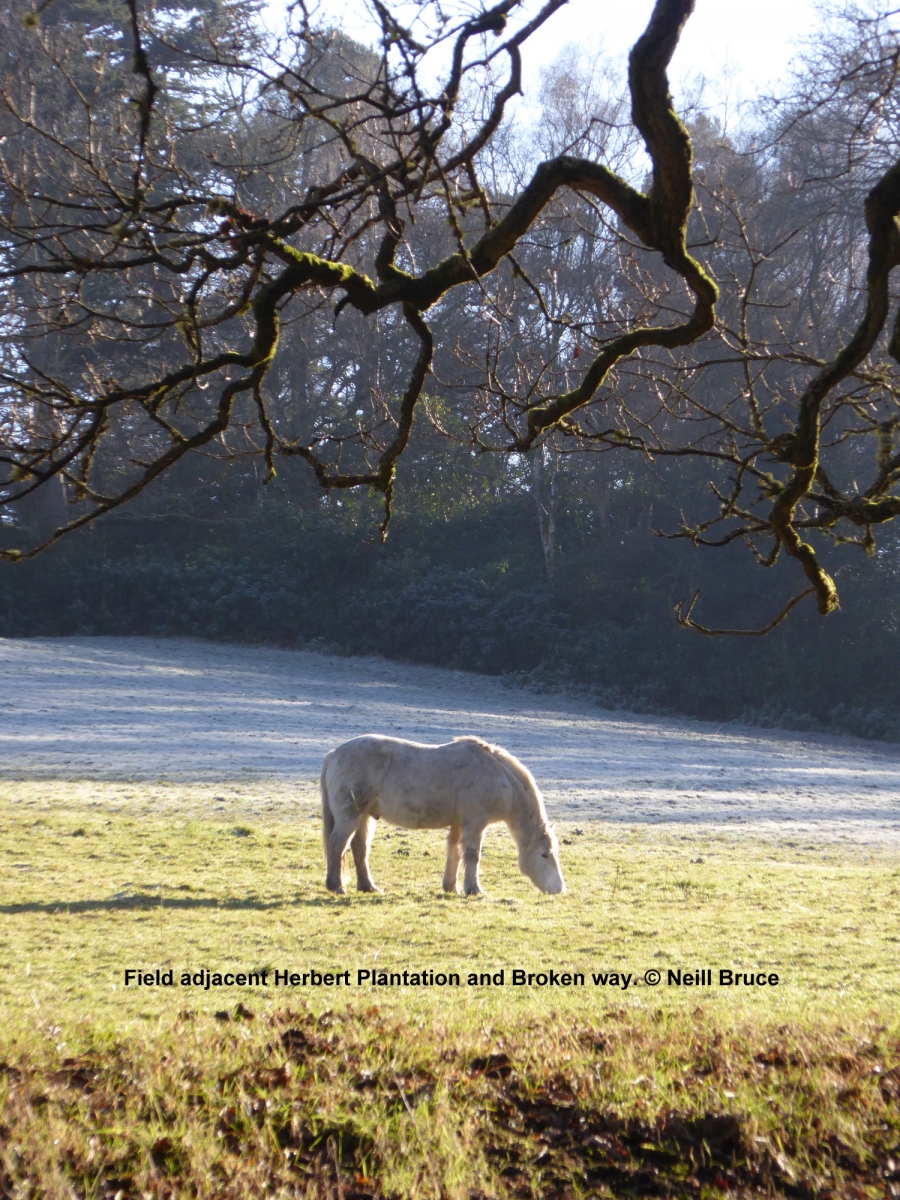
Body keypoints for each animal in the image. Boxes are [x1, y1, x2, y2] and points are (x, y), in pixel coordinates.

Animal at [320, 734, 565, 896]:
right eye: (544, 854)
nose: (560, 889)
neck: (498, 775)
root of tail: (332, 754)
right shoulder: (475, 825)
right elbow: (472, 855)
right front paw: (474, 890)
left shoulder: (459, 825)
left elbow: (454, 852)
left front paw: (450, 887)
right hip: (350, 816)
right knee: (337, 844)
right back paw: (336, 886)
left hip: (365, 817)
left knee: (359, 849)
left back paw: (368, 887)